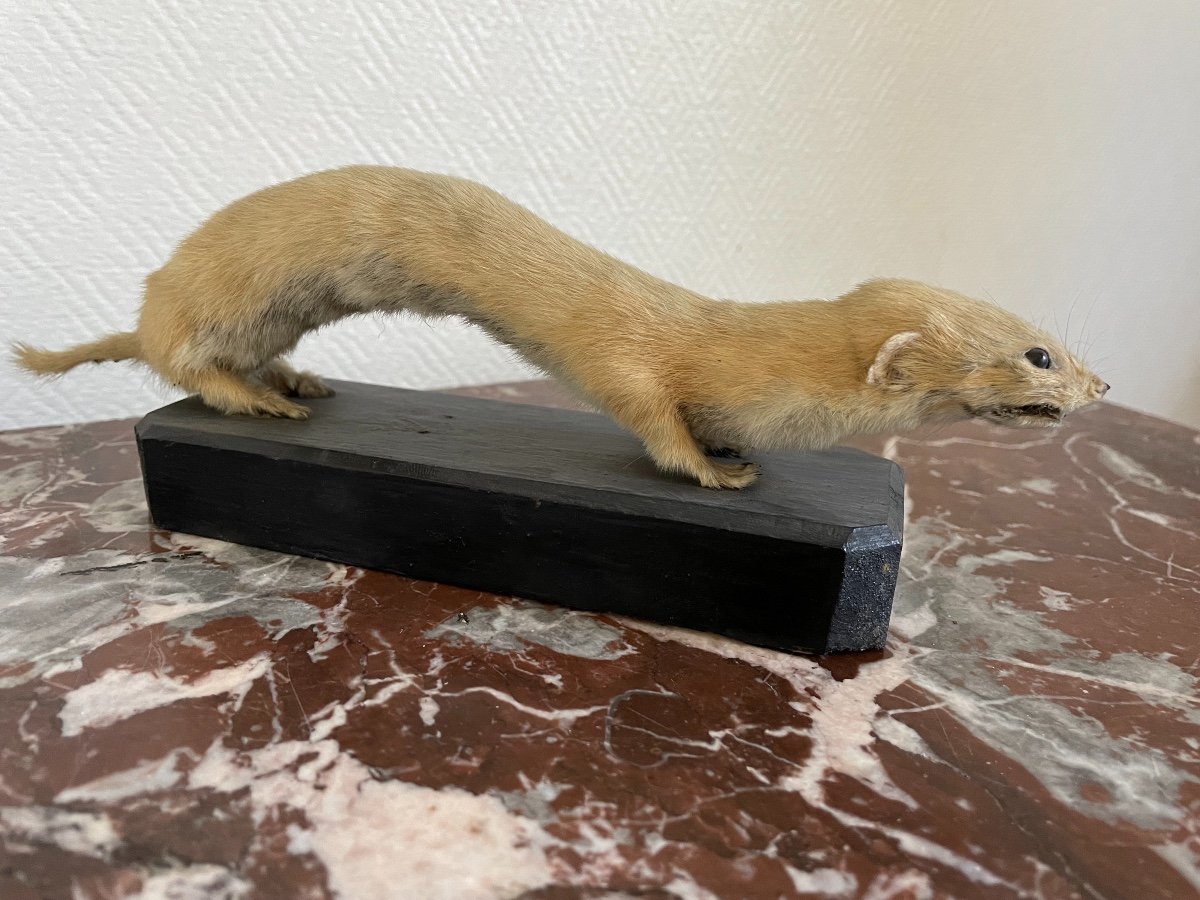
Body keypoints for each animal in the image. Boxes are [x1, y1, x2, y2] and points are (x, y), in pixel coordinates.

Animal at [14, 165, 1109, 489]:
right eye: (1038, 352)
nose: (1103, 385)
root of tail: (146, 309)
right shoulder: (628, 359)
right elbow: (649, 417)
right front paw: (714, 471)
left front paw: (732, 452)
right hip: (208, 309)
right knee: (190, 368)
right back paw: (265, 404)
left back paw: (299, 383)